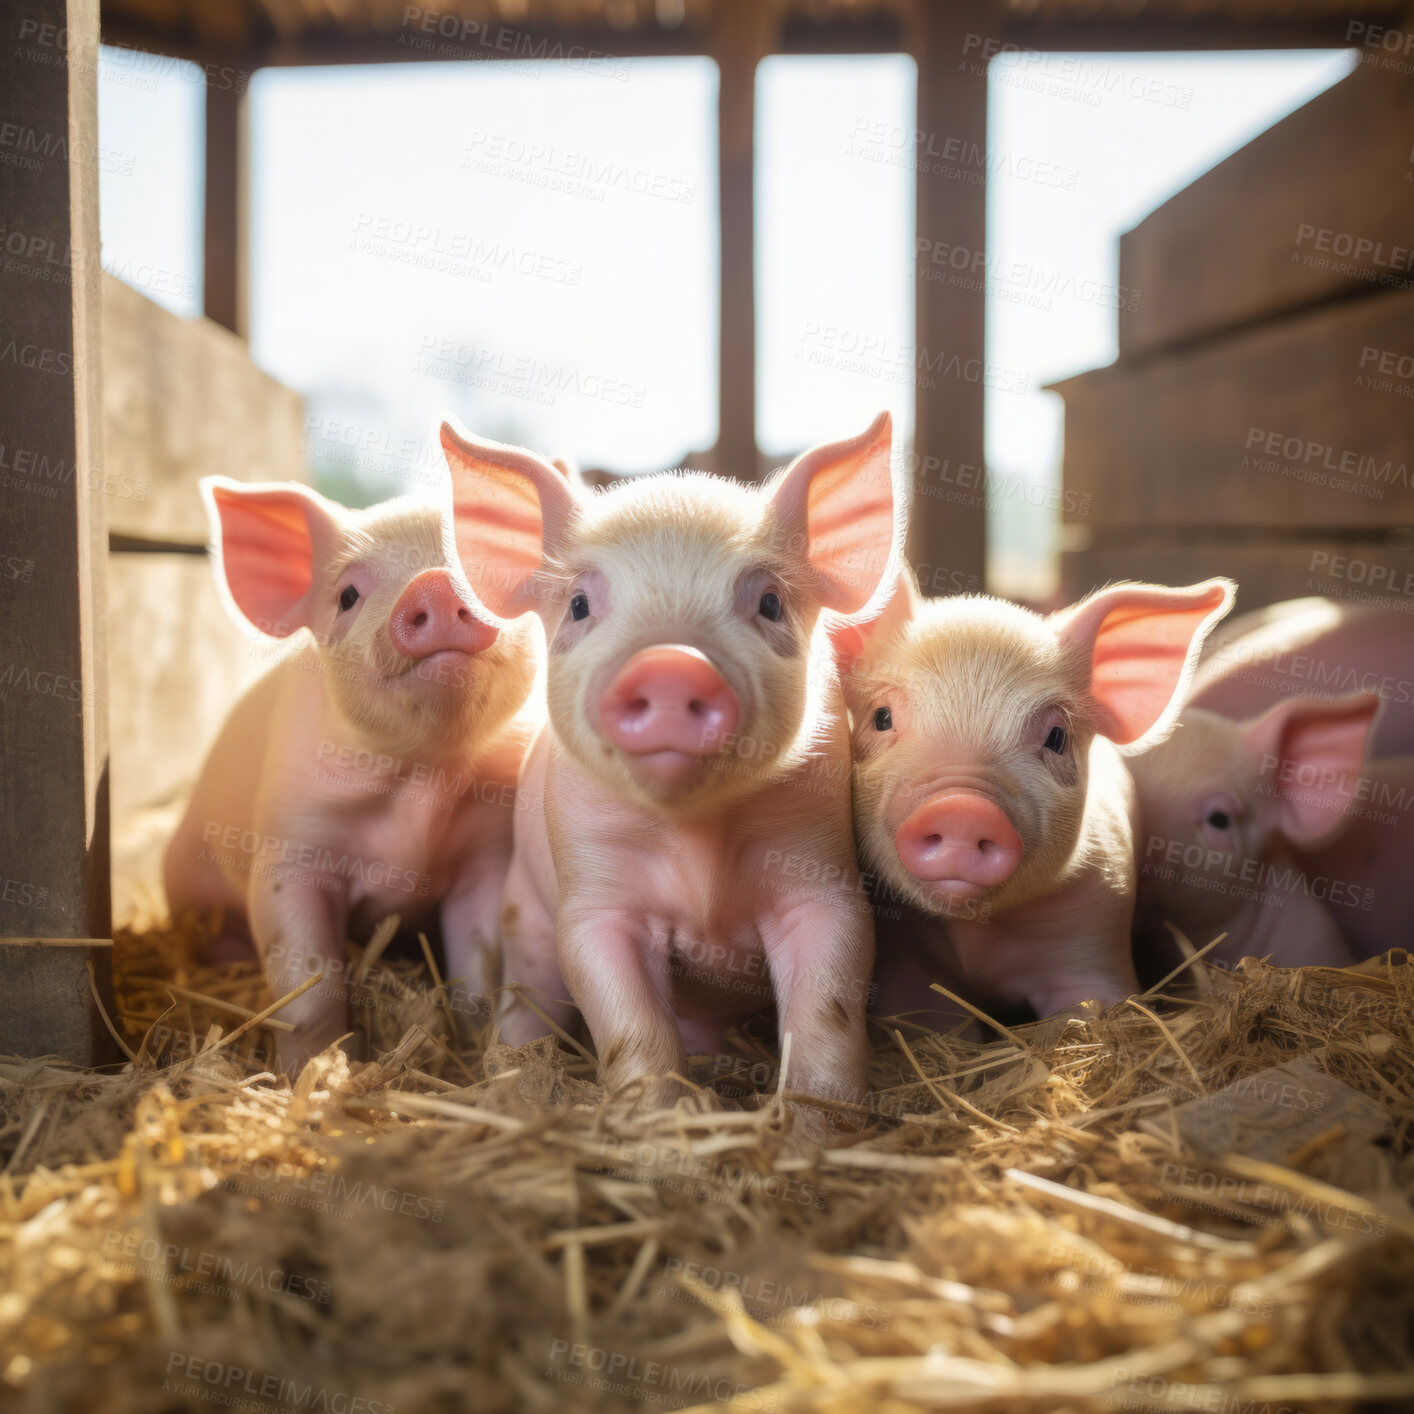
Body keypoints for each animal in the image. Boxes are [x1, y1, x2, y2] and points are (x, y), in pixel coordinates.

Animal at [163, 470, 544, 1074]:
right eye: (347, 595)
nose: (436, 585)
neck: (422, 778)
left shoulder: (487, 857)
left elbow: (477, 974)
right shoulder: (291, 850)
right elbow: (308, 985)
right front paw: (314, 1069)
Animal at [442, 412, 901, 1113]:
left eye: (770, 602)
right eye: (579, 605)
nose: (670, 663)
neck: (695, 836)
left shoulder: (821, 874)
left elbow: (828, 1013)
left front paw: (808, 1129)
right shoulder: (593, 894)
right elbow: (630, 1026)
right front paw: (664, 1122)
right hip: (523, 908)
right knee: (527, 993)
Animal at [830, 569, 1234, 1020]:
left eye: (1056, 738)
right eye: (881, 718)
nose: (961, 809)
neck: (977, 936)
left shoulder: (1094, 941)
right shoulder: (909, 970)